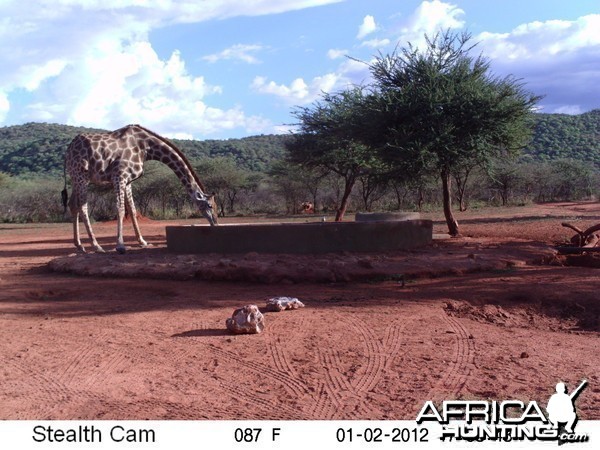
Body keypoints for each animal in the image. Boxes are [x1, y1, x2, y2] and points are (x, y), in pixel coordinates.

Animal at [62, 123, 218, 253]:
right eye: (210, 205)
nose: (215, 223)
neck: (146, 148)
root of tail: (68, 151)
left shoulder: (128, 180)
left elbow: (132, 209)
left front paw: (142, 241)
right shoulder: (119, 176)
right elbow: (120, 208)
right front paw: (120, 246)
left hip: (76, 178)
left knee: (72, 204)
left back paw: (79, 245)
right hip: (81, 175)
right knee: (82, 207)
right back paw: (96, 246)